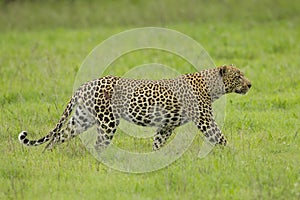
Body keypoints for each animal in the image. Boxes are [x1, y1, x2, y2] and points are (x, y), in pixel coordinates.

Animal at [18, 65, 251, 152]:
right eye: (238, 75)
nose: (250, 84)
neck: (212, 87)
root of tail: (83, 86)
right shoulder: (204, 119)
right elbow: (219, 136)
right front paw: (233, 154)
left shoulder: (166, 126)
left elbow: (158, 143)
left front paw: (156, 157)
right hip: (108, 121)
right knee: (99, 144)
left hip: (82, 118)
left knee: (59, 136)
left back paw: (48, 156)